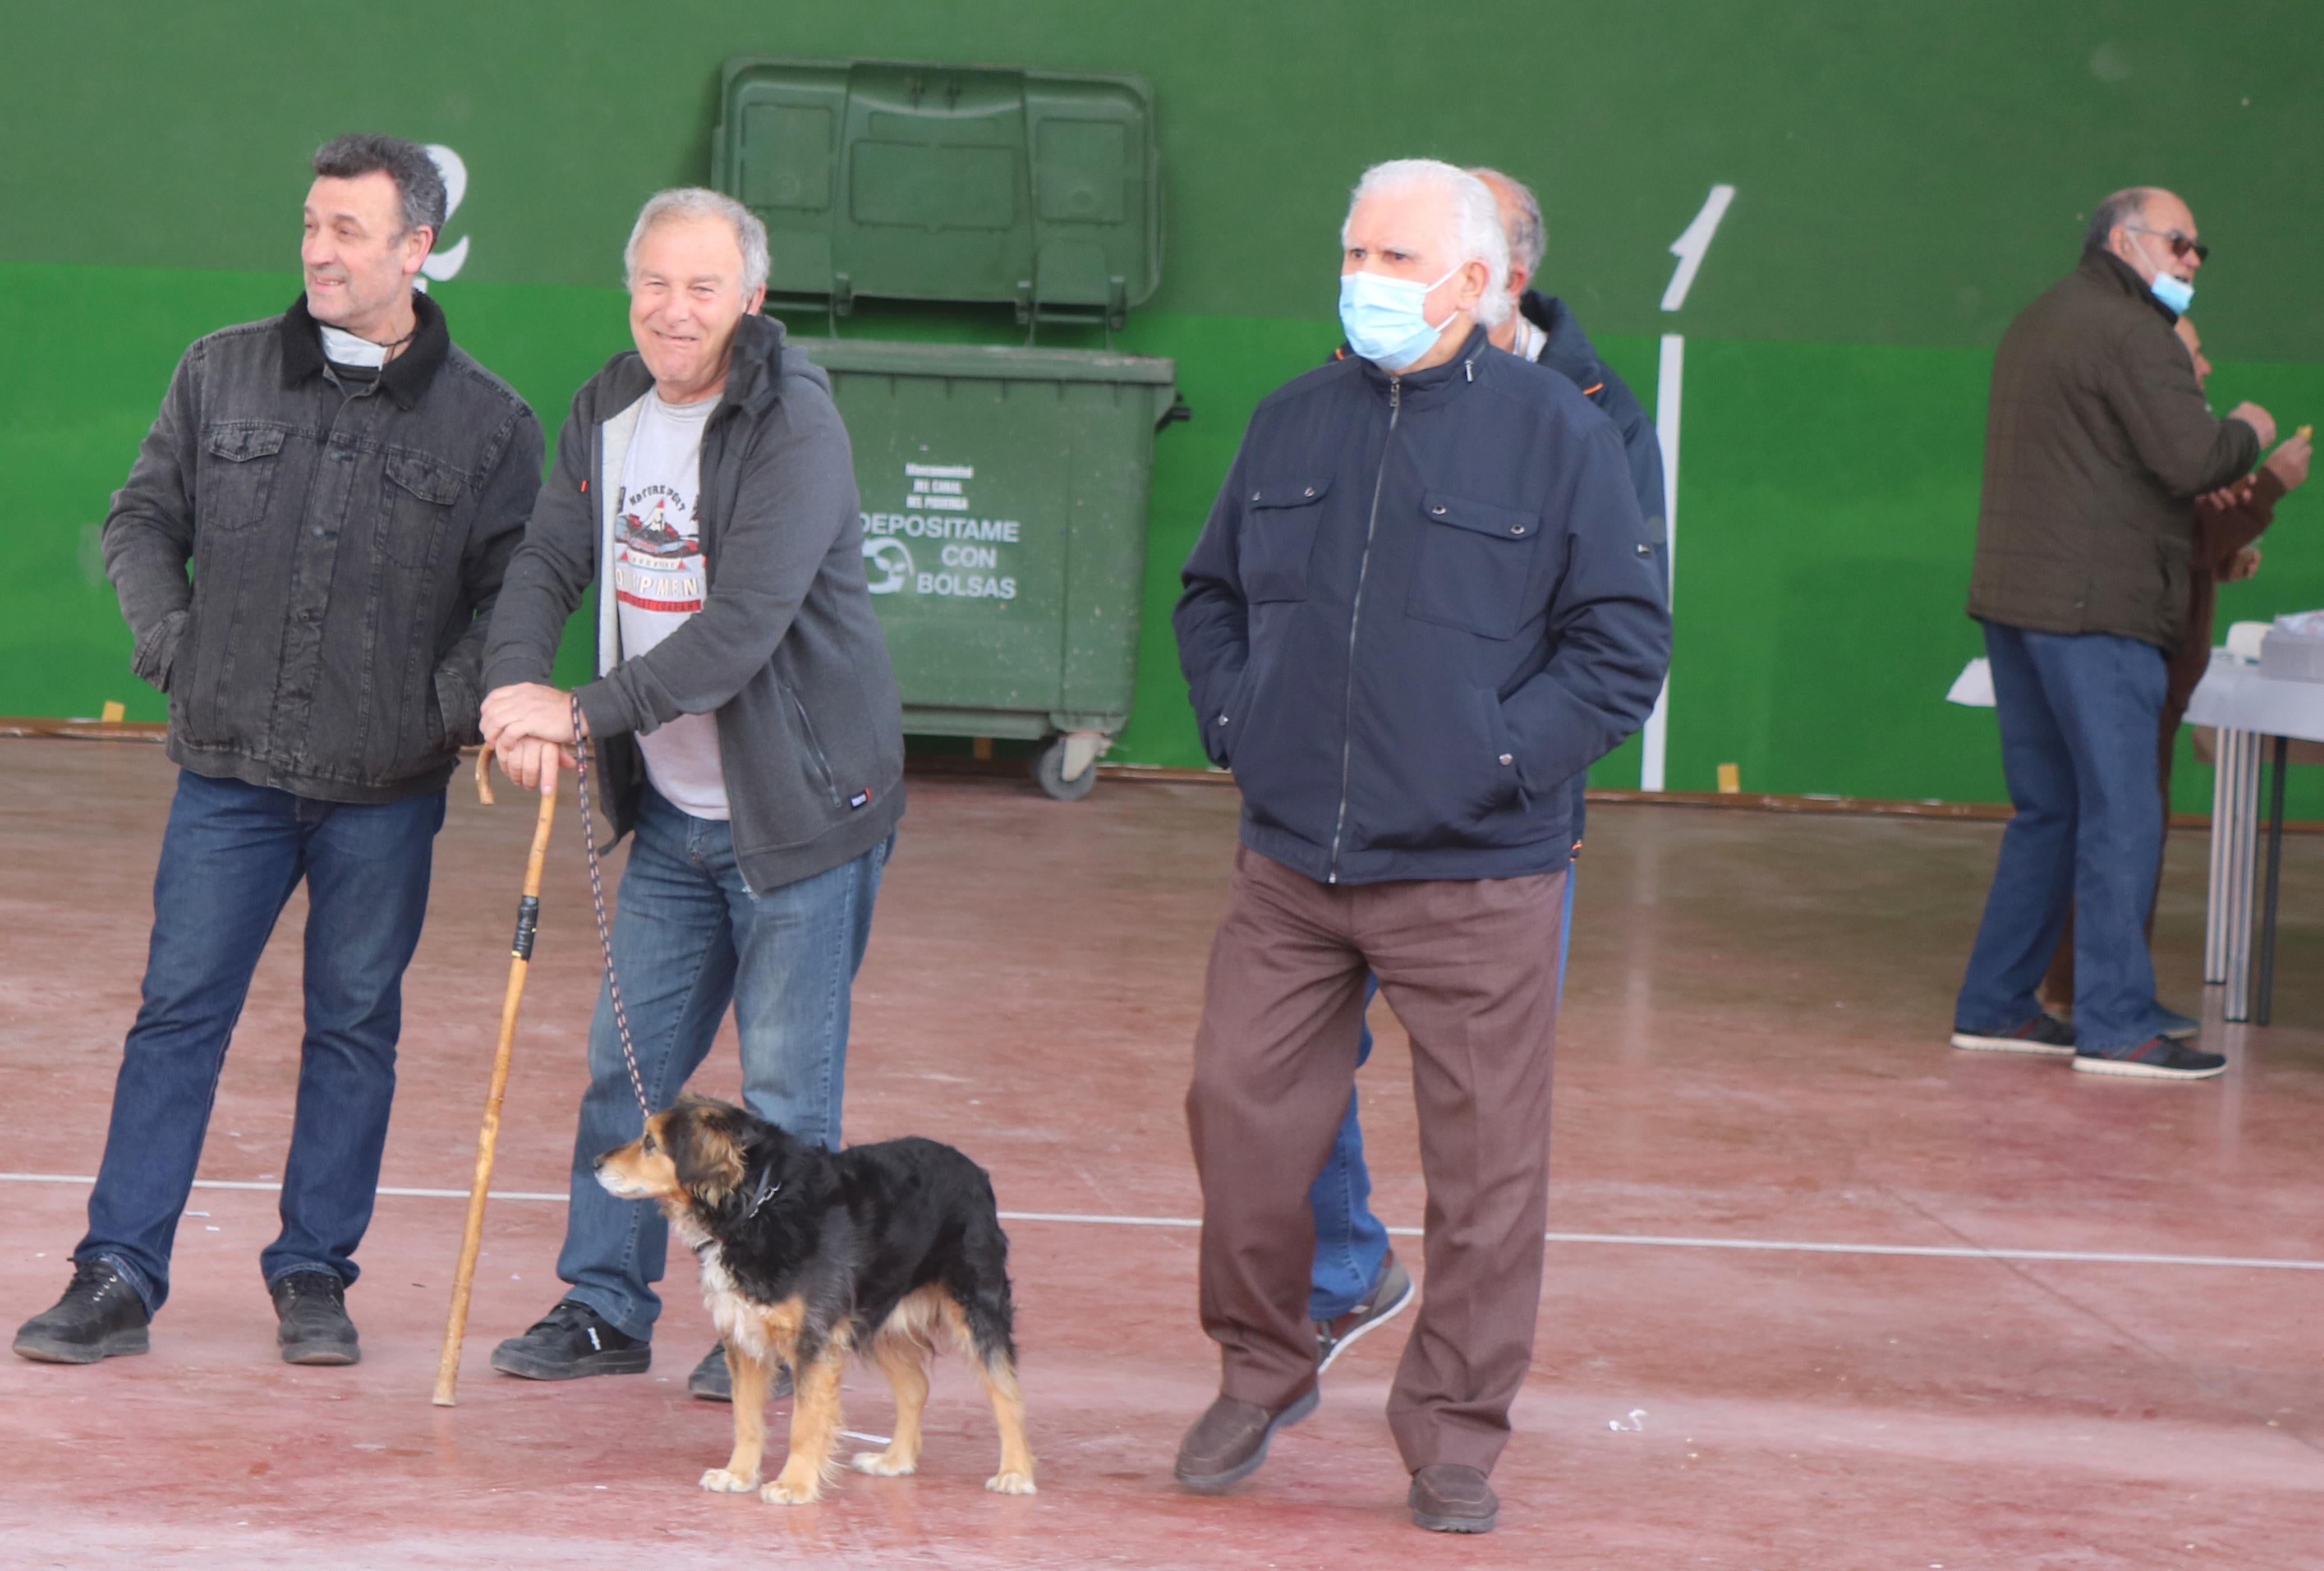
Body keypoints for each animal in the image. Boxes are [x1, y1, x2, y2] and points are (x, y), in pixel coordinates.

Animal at [595, 1097, 1041, 1505]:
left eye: (650, 1142)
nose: (596, 1162)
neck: (757, 1207)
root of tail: (974, 1170)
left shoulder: (814, 1340)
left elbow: (805, 1423)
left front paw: (794, 1484)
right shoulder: (743, 1338)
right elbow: (745, 1419)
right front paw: (738, 1474)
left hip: (975, 1308)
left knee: (1007, 1394)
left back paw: (1016, 1472)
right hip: (877, 1316)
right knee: (916, 1385)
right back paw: (894, 1460)